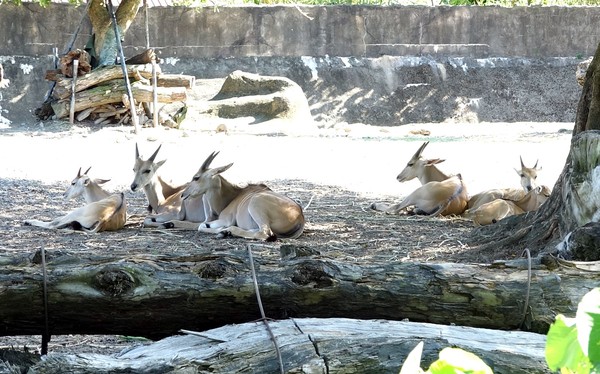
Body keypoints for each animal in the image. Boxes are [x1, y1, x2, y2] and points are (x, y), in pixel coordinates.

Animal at [168, 150, 304, 241]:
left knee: (264, 233)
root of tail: (300, 216)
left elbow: (201, 226)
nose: (183, 195)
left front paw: (222, 230)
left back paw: (227, 231)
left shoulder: (226, 219)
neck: (233, 196)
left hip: (256, 204)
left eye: (196, 177)